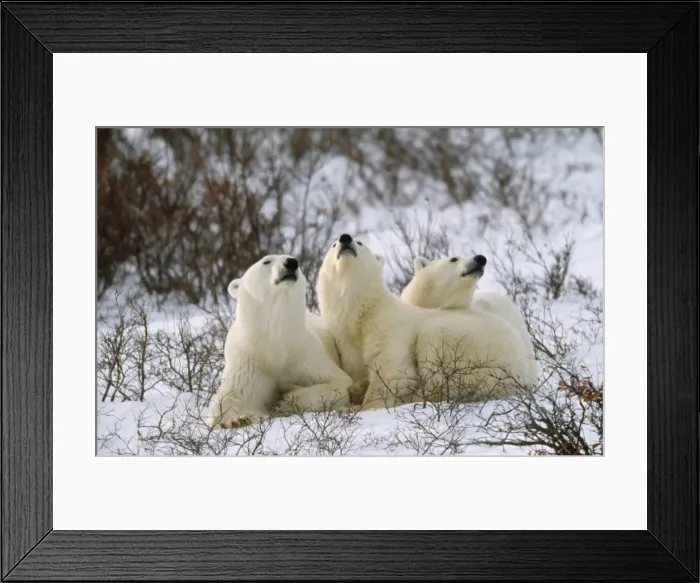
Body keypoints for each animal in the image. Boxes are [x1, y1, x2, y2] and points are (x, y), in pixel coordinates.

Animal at [206, 254, 355, 430]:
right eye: (266, 261)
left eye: (294, 259)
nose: (291, 262)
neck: (276, 341)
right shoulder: (248, 362)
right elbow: (231, 397)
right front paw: (237, 419)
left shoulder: (306, 357)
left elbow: (339, 383)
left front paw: (286, 400)